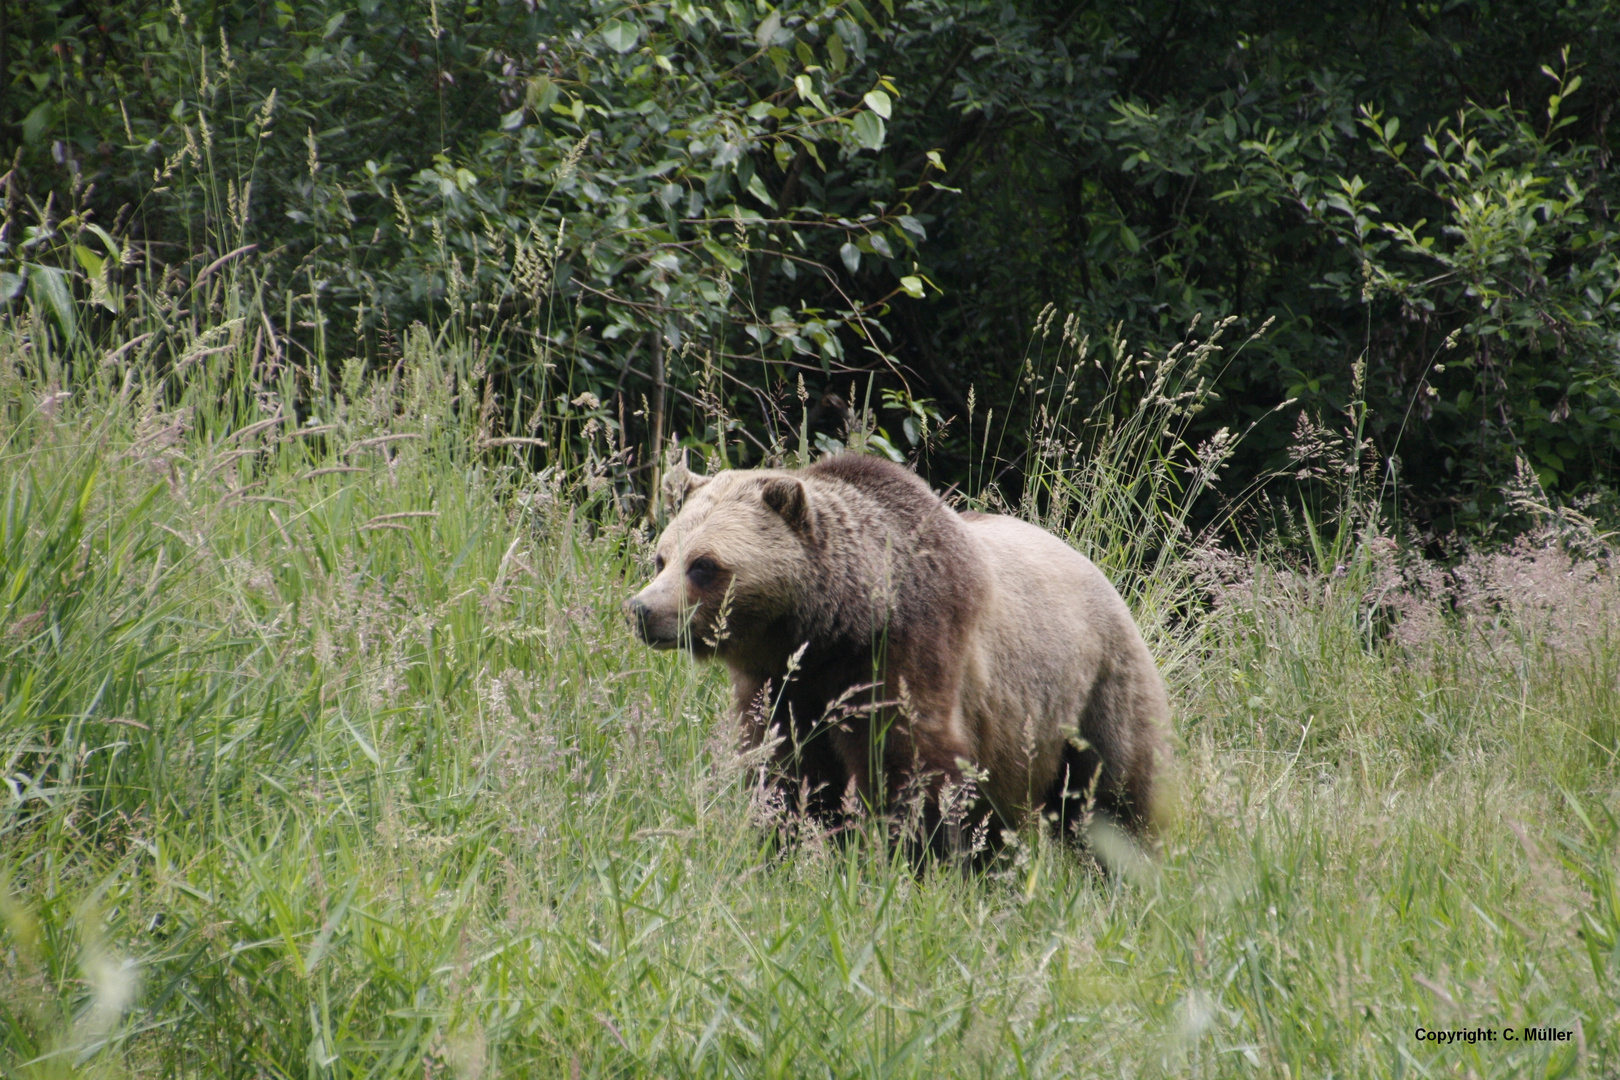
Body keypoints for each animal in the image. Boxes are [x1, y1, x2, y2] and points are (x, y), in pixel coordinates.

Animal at [618, 453, 1166, 848]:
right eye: (662, 557)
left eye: (704, 565)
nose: (642, 610)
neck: (835, 630)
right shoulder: (783, 687)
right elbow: (784, 772)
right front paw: (786, 844)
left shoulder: (909, 652)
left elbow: (913, 768)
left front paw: (913, 856)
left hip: (1094, 688)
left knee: (1116, 793)